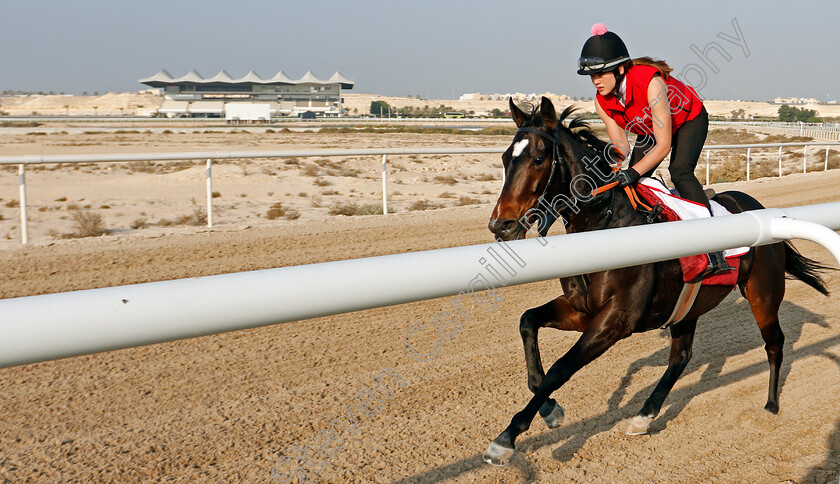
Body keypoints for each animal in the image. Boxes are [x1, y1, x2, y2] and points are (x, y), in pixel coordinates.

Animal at [482, 95, 836, 466]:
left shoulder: (616, 321)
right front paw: (549, 409)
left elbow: (561, 367)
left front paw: (507, 437)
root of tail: (759, 205)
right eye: (505, 158)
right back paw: (644, 415)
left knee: (774, 342)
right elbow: (528, 322)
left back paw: (770, 404)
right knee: (681, 356)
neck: (605, 224)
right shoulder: (581, 310)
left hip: (763, 294)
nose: (501, 225)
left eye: (538, 159)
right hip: (689, 305)